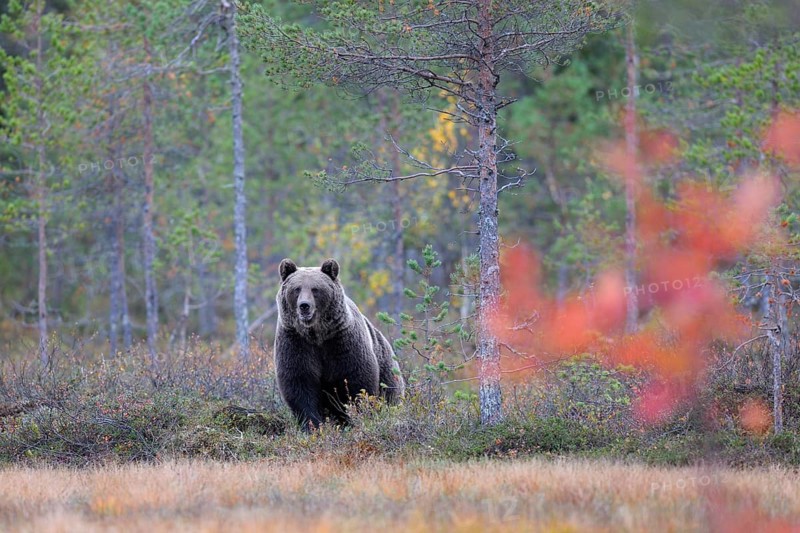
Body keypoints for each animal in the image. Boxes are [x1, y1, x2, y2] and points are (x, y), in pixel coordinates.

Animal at [274, 258, 405, 429]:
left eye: (315, 289)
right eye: (296, 289)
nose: (304, 306)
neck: (317, 334)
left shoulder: (342, 341)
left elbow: (358, 381)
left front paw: (357, 418)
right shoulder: (296, 342)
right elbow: (300, 383)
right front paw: (313, 425)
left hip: (388, 371)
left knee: (390, 394)